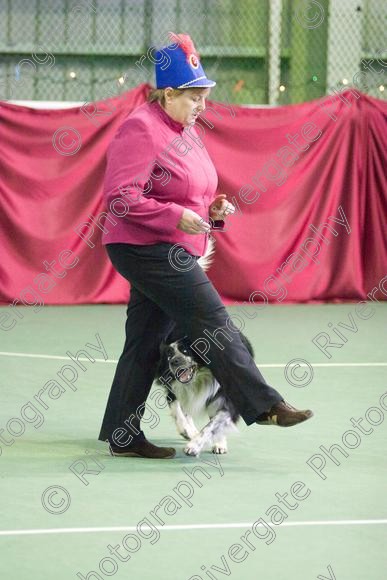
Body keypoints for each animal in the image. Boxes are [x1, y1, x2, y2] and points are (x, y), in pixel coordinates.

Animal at [155, 238, 255, 456]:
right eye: (169, 353)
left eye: (186, 350)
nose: (175, 363)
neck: (201, 375)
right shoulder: (171, 382)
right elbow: (178, 409)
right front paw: (188, 432)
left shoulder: (226, 394)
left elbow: (214, 423)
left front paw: (198, 444)